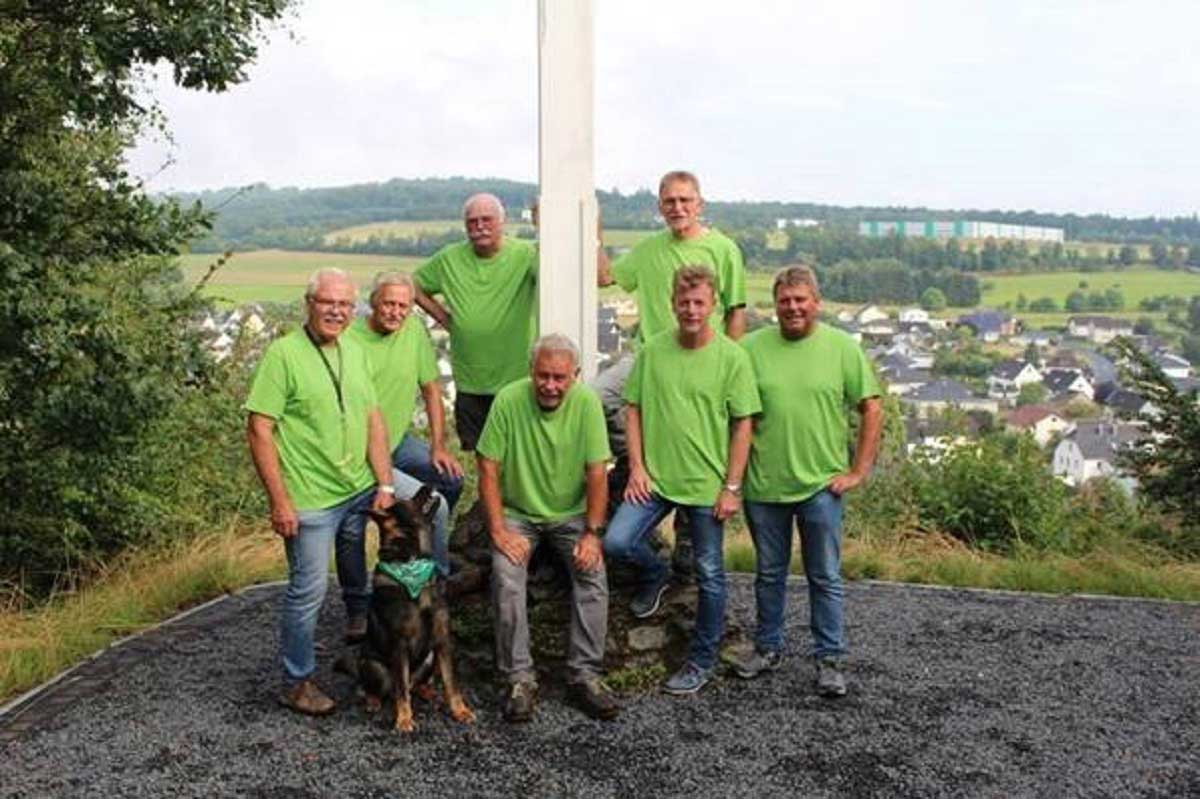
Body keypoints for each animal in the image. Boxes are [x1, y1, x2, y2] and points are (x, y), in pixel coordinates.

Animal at [350, 482, 472, 729]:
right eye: (407, 501)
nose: (427, 484)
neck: (412, 560)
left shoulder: (443, 640)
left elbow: (452, 684)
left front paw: (460, 711)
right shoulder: (400, 645)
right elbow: (401, 691)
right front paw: (404, 719)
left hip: (429, 658)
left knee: (414, 685)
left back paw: (427, 691)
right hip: (372, 665)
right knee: (380, 688)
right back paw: (373, 701)